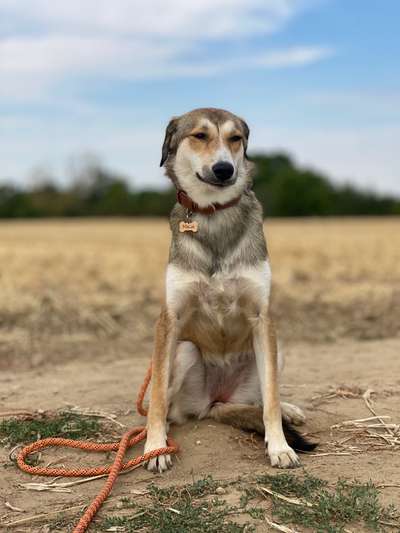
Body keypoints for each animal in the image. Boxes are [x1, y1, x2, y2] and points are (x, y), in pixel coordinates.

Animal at [144, 107, 316, 470]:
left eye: (235, 138)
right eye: (200, 136)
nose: (225, 169)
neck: (213, 215)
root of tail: (217, 402)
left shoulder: (262, 319)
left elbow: (270, 398)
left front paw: (279, 446)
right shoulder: (169, 319)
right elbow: (157, 397)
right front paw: (154, 446)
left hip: (275, 348)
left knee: (263, 398)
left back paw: (288, 410)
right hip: (184, 350)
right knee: (167, 404)